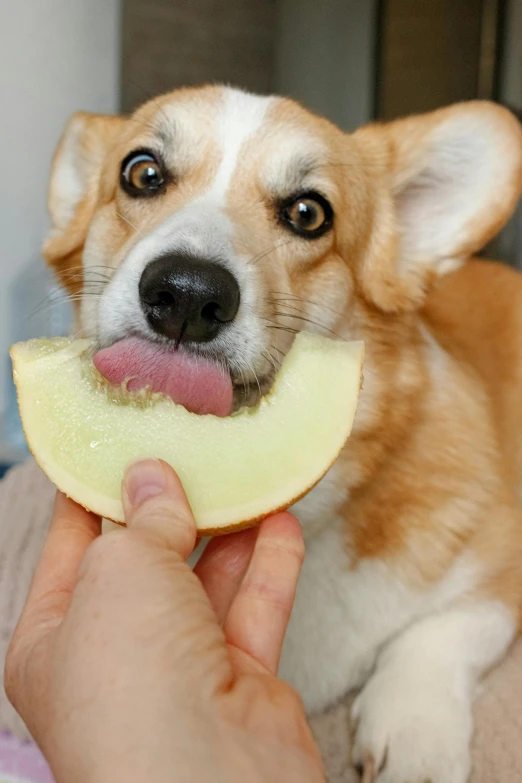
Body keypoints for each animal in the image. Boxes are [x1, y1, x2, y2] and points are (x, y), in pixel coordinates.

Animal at [42, 86, 520, 783]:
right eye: (143, 173)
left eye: (307, 213)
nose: (186, 293)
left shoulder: (499, 563)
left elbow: (439, 633)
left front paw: (415, 732)